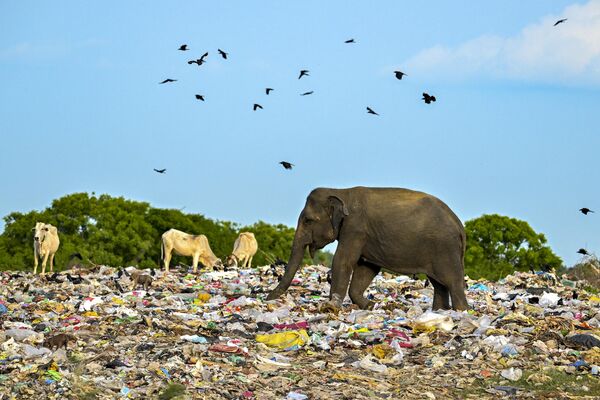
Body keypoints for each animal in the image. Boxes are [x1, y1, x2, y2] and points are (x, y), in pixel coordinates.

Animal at [268, 188, 468, 312]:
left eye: (308, 220)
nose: (268, 298)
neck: (341, 192)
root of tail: (459, 225)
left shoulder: (355, 228)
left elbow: (342, 261)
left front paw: (331, 307)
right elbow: (367, 267)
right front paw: (370, 305)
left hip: (444, 248)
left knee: (453, 282)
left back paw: (461, 311)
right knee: (439, 283)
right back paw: (439, 312)